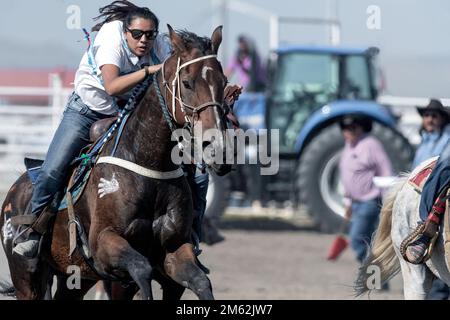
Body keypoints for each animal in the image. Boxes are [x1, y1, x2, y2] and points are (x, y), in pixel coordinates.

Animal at [0, 25, 230, 300]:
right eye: (187, 82)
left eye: (224, 82)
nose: (216, 147)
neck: (149, 165)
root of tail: (14, 190)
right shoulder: (104, 243)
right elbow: (141, 269)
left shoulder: (174, 250)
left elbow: (201, 282)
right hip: (26, 277)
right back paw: (27, 240)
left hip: (75, 275)